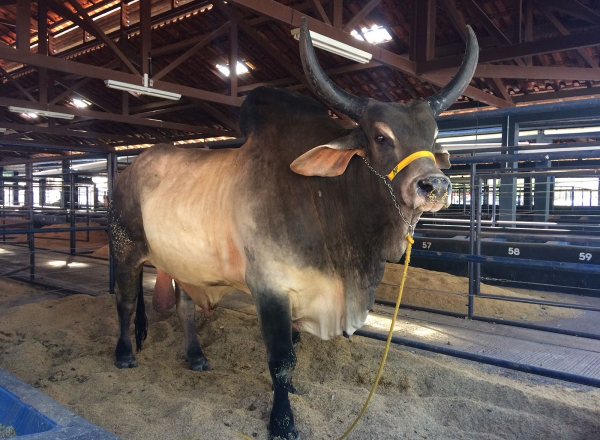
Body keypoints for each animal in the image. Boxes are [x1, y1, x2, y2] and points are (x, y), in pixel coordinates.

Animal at [105, 18, 476, 438]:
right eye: (381, 136)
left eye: (433, 135)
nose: (435, 186)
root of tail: (130, 168)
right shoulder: (270, 288)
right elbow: (281, 359)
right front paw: (282, 420)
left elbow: (294, 351)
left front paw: (292, 392)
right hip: (125, 249)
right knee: (124, 301)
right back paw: (124, 354)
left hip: (183, 262)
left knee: (184, 307)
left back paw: (196, 356)